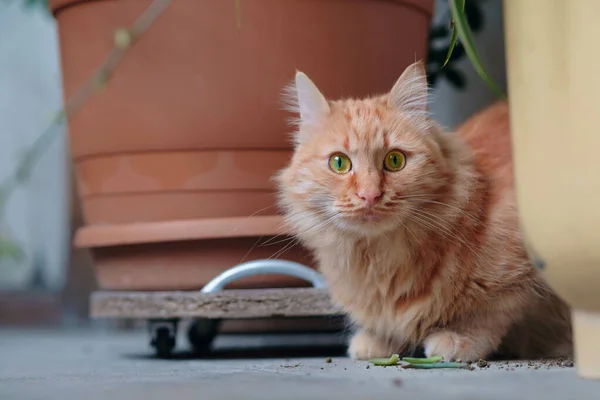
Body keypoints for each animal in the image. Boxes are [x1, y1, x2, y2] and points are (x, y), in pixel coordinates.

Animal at [276, 60, 572, 362]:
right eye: (339, 163)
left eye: (395, 161)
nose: (370, 194)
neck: (380, 260)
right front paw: (378, 341)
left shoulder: (523, 272)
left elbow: (492, 313)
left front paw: (458, 338)